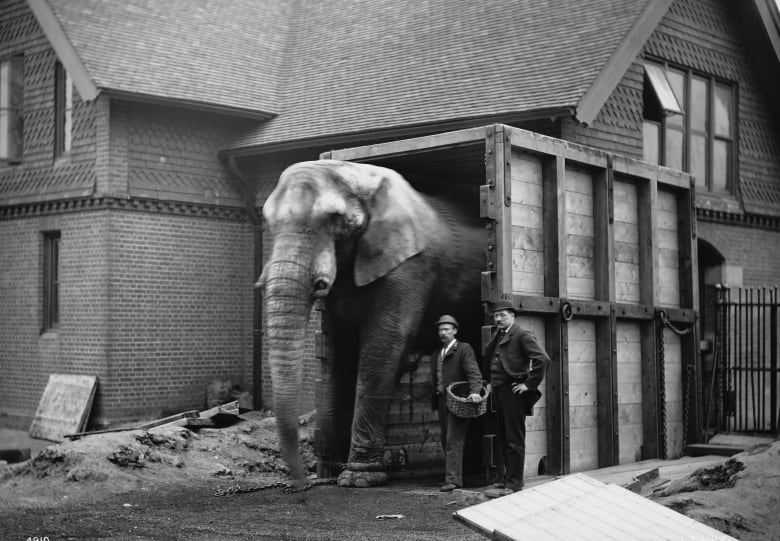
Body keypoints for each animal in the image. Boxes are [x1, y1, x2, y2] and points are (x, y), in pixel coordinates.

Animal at [258, 158, 484, 488]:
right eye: (268, 222)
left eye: (336, 219)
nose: (302, 485)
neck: (361, 176)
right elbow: (341, 352)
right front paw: (334, 474)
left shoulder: (409, 268)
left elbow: (381, 349)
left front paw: (358, 479)